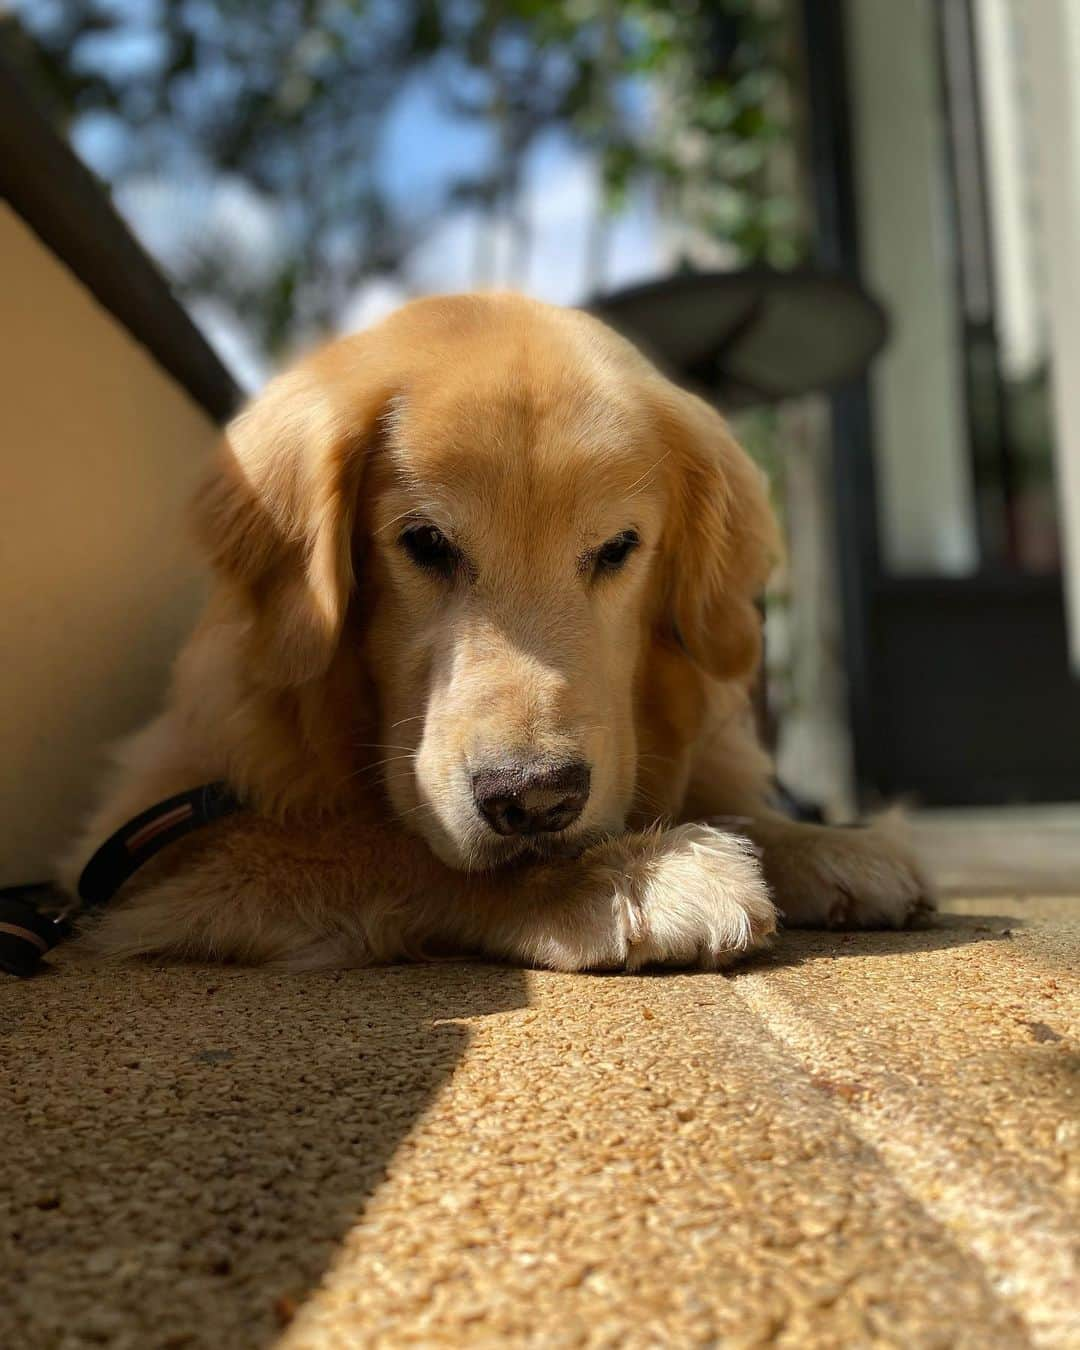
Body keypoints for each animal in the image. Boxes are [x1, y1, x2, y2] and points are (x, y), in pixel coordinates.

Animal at [63, 295, 934, 972]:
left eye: (617, 547)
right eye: (425, 543)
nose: (535, 799)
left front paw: (823, 841)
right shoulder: (155, 854)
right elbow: (378, 845)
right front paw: (622, 876)